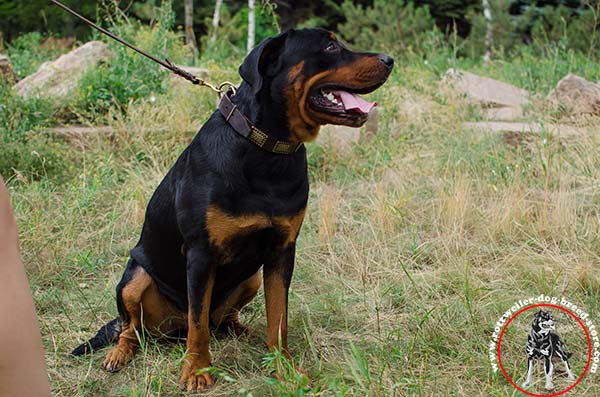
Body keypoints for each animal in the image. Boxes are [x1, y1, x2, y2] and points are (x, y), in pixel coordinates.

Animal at [71, 28, 394, 392]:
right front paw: (197, 371)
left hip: (251, 278)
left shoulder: (282, 250)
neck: (266, 149)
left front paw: (282, 367)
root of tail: (171, 331)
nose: (389, 59)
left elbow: (278, 318)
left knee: (220, 319)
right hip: (134, 277)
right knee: (135, 327)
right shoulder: (201, 253)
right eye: (329, 45)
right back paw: (120, 354)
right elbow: (198, 325)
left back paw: (243, 332)